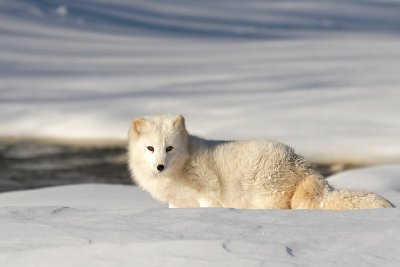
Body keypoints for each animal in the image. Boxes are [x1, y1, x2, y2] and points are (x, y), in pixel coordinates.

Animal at [128, 114, 394, 210]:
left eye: (169, 148)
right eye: (150, 148)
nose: (160, 166)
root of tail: (299, 161)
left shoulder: (207, 196)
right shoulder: (178, 202)